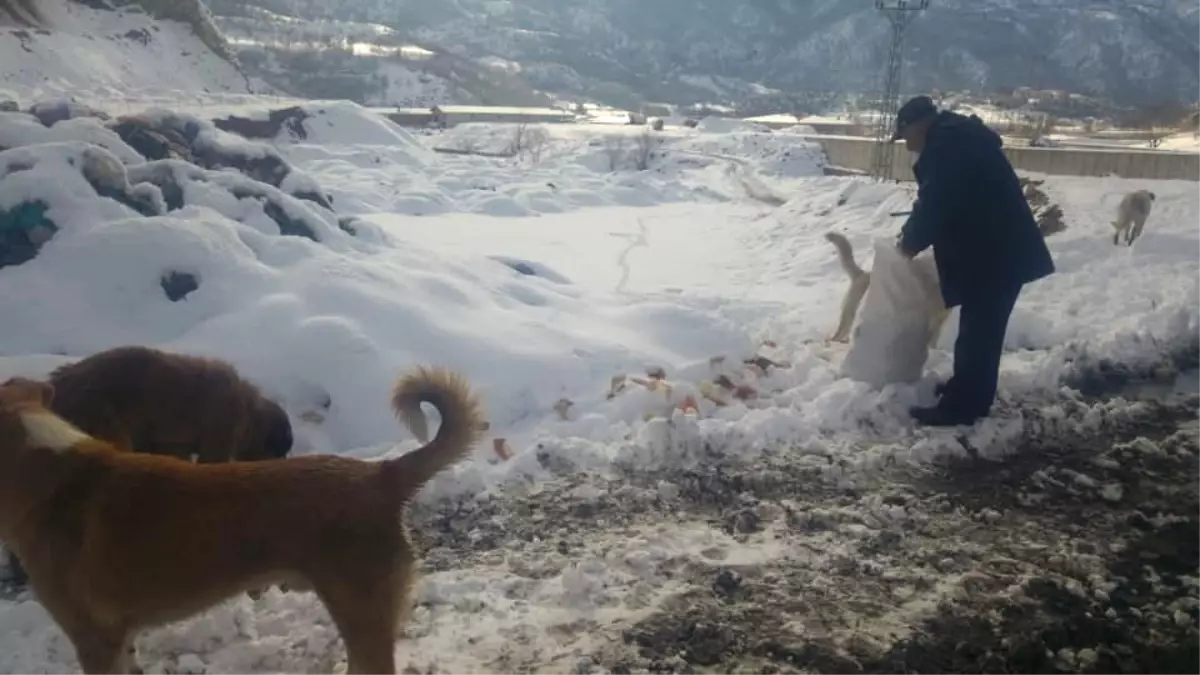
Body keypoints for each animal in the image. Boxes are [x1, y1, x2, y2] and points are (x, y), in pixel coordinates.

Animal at [47, 345, 295, 461]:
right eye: (278, 450)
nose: (282, 460)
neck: (251, 414)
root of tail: (59, 384)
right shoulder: (221, 430)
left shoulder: (171, 443)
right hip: (100, 415)